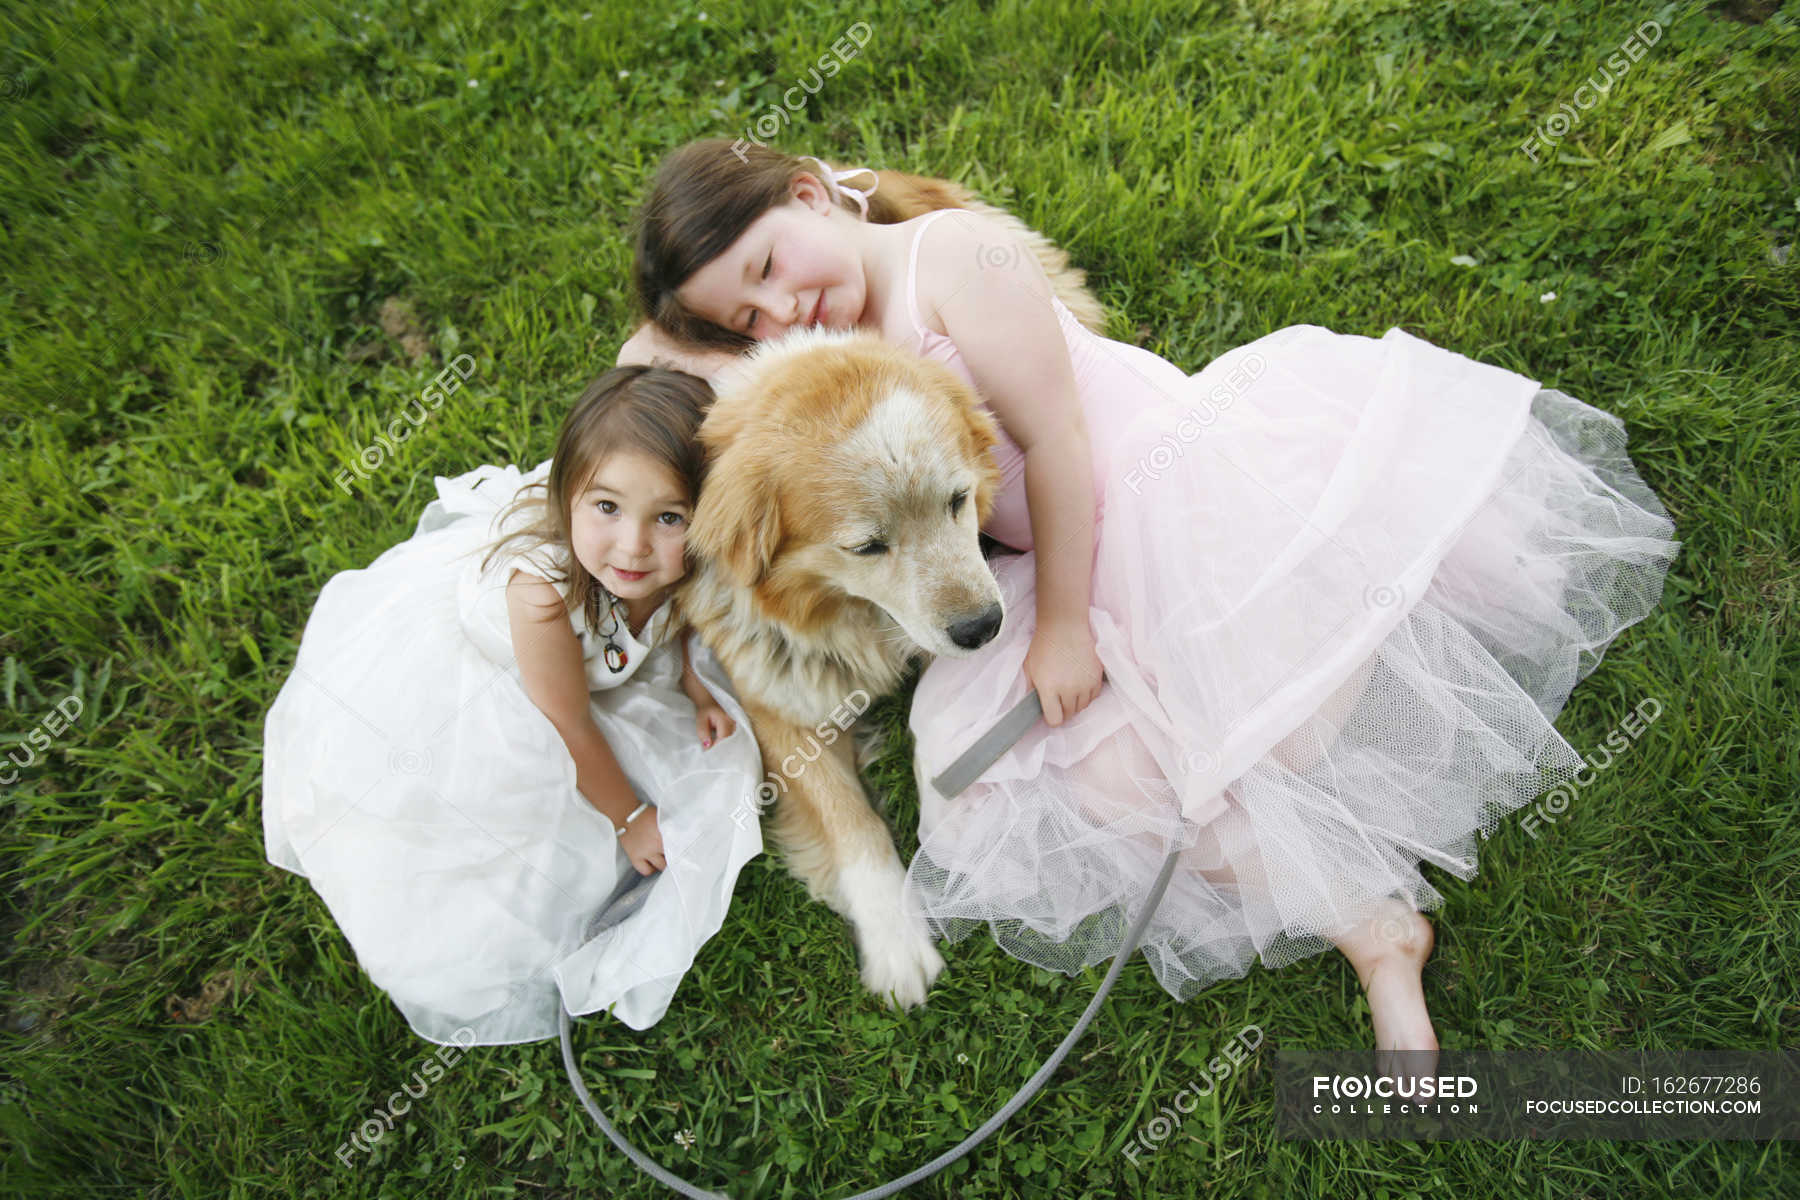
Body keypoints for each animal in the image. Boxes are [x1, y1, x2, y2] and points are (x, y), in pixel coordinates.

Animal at [676, 325, 1015, 1007]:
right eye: (867, 546)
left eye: (958, 499)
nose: (982, 628)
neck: (850, 615)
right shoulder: (776, 709)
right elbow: (850, 820)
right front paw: (895, 938)